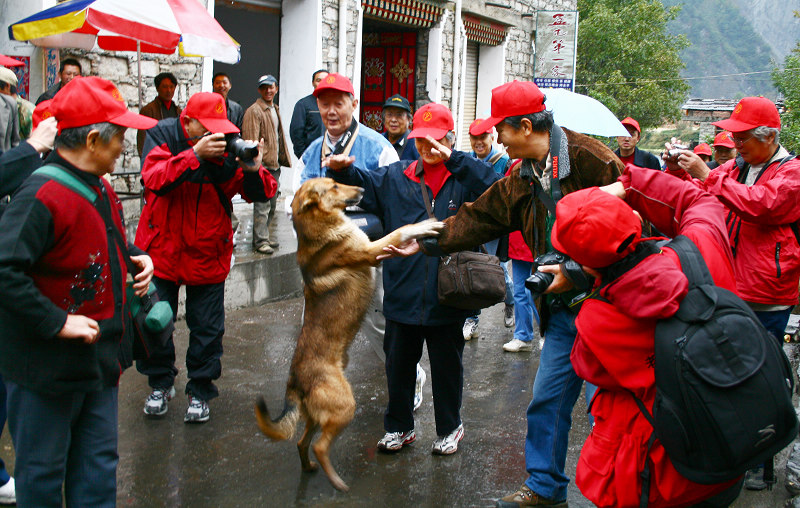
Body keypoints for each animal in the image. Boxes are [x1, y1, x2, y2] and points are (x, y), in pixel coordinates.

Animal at [255, 177, 444, 490]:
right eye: (332, 186)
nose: (363, 190)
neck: (319, 228)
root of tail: (295, 384)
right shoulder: (373, 251)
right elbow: (401, 230)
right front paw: (426, 224)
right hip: (345, 407)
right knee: (319, 446)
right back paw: (337, 482)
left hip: (318, 416)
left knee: (302, 443)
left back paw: (309, 468)